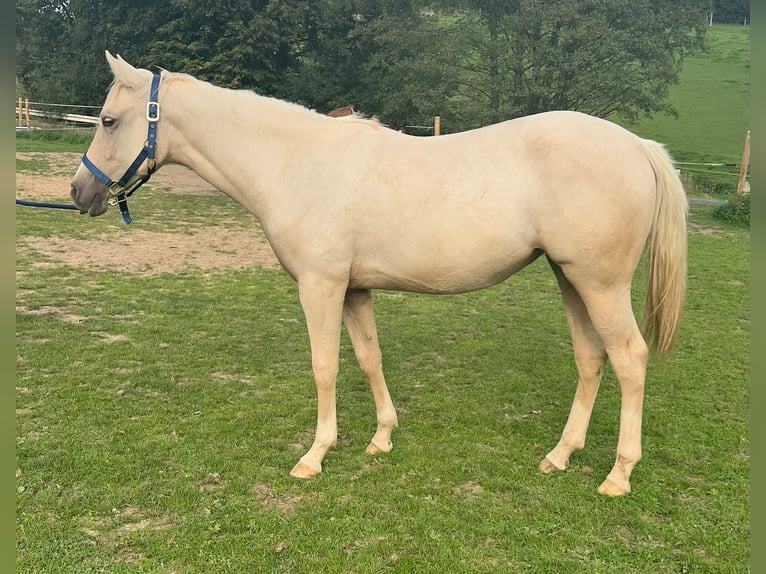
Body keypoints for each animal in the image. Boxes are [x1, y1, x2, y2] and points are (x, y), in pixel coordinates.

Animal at [70, 52, 687, 496]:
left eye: (109, 120)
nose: (79, 193)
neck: (294, 162)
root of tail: (637, 146)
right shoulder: (355, 289)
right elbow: (369, 358)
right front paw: (381, 439)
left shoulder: (320, 286)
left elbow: (325, 367)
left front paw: (314, 456)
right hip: (570, 278)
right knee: (591, 358)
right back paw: (560, 456)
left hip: (600, 284)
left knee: (629, 358)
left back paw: (618, 475)